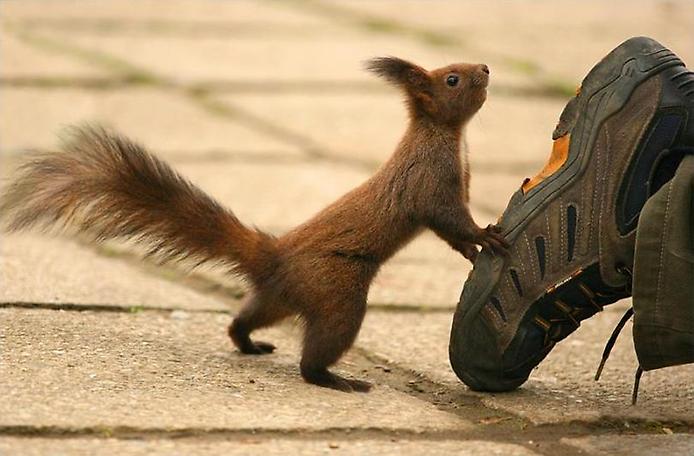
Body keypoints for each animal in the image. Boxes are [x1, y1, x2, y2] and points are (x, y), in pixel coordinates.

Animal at [1, 57, 508, 392]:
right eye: (452, 79)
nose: (486, 68)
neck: (444, 136)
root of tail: (273, 256)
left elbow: (449, 234)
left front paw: (471, 251)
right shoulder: (430, 184)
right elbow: (448, 219)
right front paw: (486, 237)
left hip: (280, 298)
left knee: (246, 317)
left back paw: (248, 344)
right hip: (338, 295)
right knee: (316, 354)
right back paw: (334, 379)